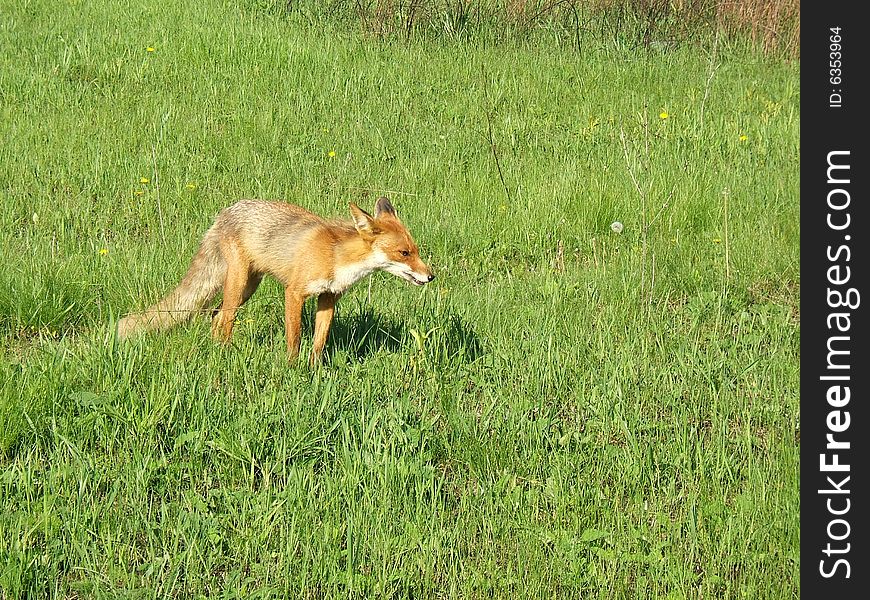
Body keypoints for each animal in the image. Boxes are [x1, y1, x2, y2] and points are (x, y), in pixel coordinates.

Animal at [117, 199, 436, 364]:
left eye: (416, 250)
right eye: (404, 253)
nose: (431, 276)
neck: (337, 258)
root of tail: (226, 211)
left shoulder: (328, 298)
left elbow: (319, 342)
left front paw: (315, 372)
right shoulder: (294, 293)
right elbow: (294, 338)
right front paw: (293, 370)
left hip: (248, 287)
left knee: (215, 316)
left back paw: (218, 351)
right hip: (237, 285)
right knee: (224, 320)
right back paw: (224, 355)